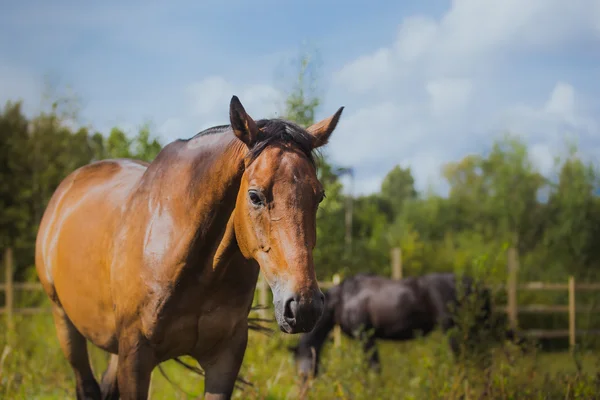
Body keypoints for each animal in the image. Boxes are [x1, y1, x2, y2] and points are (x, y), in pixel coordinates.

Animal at [35, 95, 344, 398]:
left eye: (319, 196)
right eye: (255, 196)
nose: (304, 306)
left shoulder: (225, 358)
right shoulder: (135, 357)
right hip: (66, 324)